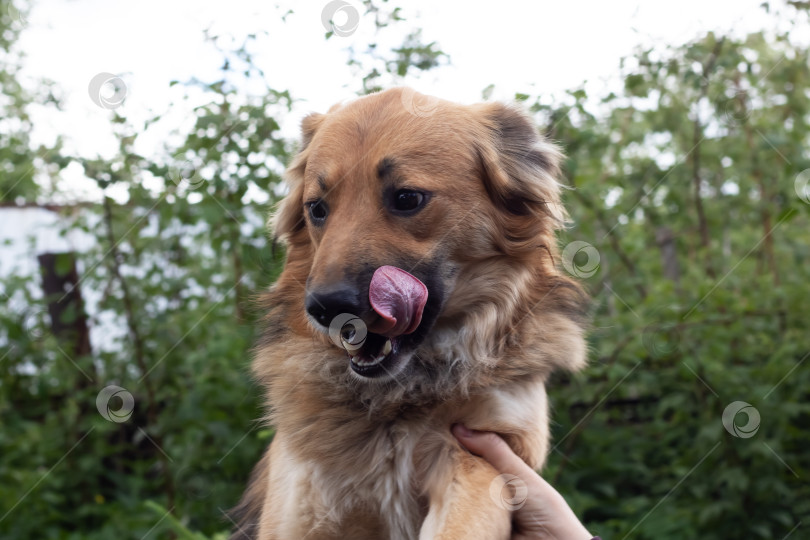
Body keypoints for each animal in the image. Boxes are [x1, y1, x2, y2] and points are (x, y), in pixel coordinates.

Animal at [230, 86, 584, 536]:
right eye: (317, 209)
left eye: (407, 198)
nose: (326, 309)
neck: (400, 399)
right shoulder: (303, 496)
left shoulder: (487, 449)